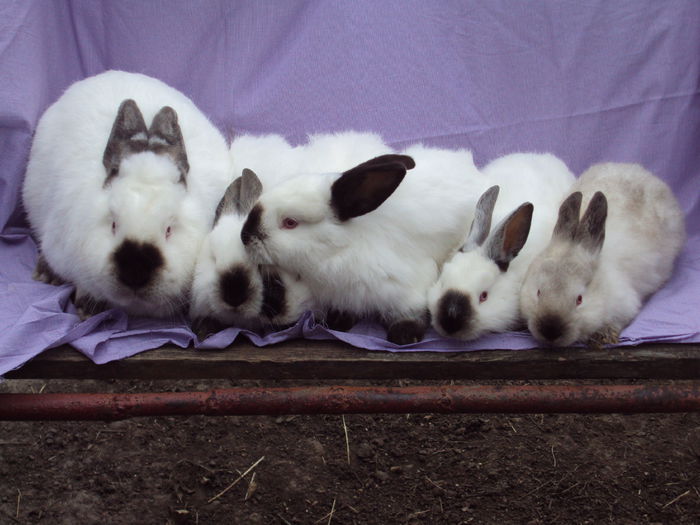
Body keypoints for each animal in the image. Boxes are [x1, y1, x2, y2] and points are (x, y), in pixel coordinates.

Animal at [241, 143, 486, 344]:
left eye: (290, 222)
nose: (244, 236)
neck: (339, 250)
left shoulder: (406, 284)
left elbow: (411, 310)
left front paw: (404, 336)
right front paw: (338, 321)